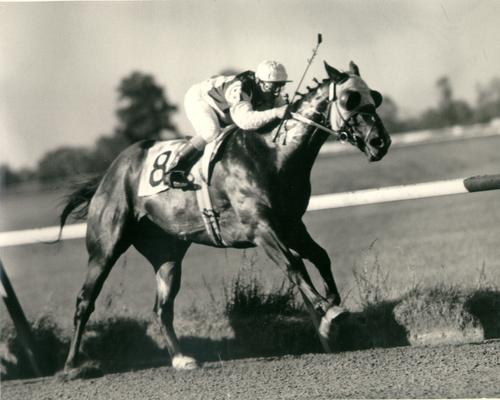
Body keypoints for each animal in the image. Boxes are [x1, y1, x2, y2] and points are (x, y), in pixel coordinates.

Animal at [59, 60, 390, 372]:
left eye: (375, 97)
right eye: (350, 99)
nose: (380, 142)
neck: (272, 154)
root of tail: (109, 172)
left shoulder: (291, 224)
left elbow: (320, 256)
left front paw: (328, 316)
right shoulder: (261, 228)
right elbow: (294, 266)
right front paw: (329, 311)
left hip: (167, 251)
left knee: (162, 307)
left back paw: (181, 359)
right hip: (105, 246)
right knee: (85, 300)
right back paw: (72, 365)